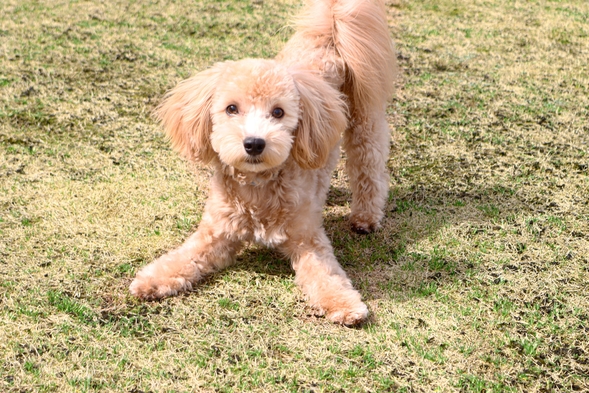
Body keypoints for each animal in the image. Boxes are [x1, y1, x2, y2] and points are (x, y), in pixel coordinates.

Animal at [129, 0, 396, 324]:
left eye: (278, 112)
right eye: (231, 108)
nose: (254, 143)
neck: (256, 188)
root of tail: (329, 32)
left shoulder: (308, 240)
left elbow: (326, 276)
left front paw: (345, 304)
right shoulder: (214, 233)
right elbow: (181, 258)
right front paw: (150, 280)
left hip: (364, 121)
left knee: (369, 167)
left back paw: (365, 217)